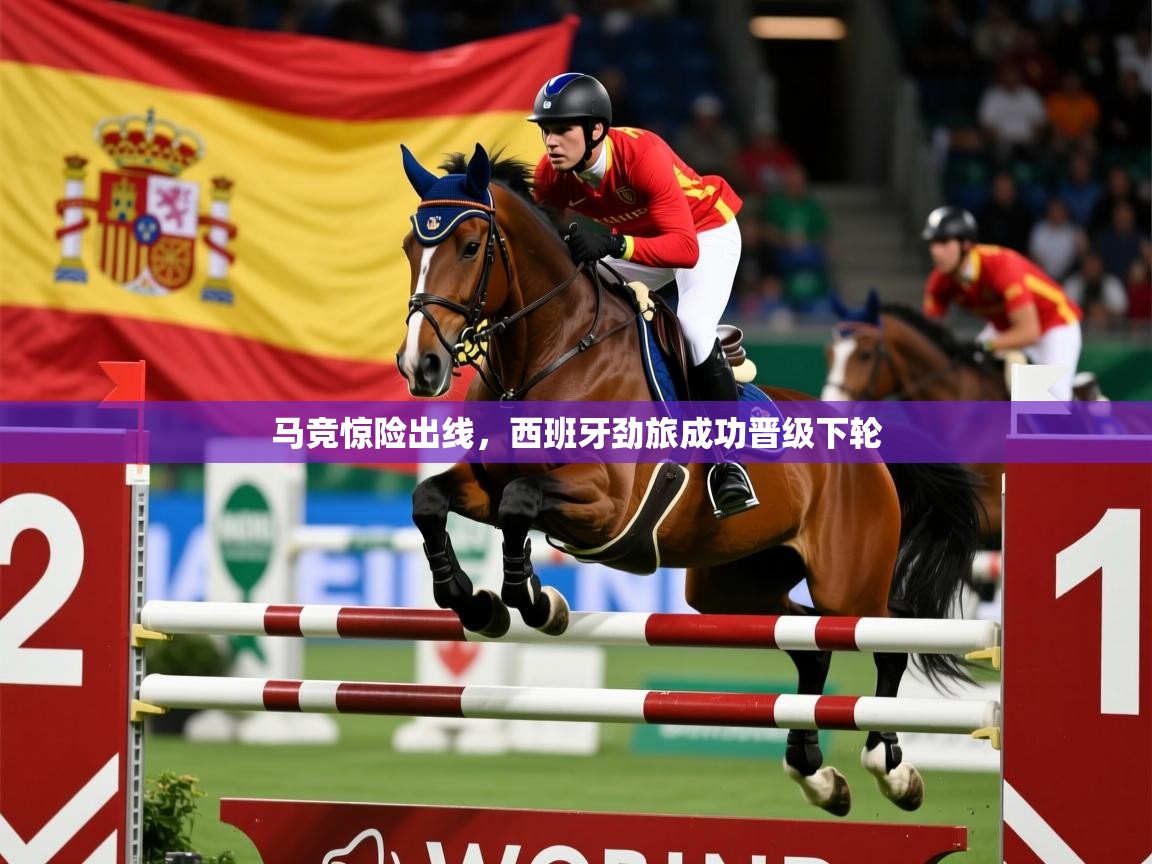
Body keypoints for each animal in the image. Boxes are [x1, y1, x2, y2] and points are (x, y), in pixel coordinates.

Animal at [396, 143, 982, 817]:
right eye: (409, 247)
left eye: (470, 247)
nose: (420, 367)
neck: (549, 352)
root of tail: (869, 445)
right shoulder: (485, 481)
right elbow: (430, 500)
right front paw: (475, 601)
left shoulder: (606, 504)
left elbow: (521, 505)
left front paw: (537, 603)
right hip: (734, 586)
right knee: (808, 642)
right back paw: (816, 775)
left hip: (847, 582)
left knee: (882, 638)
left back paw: (892, 767)